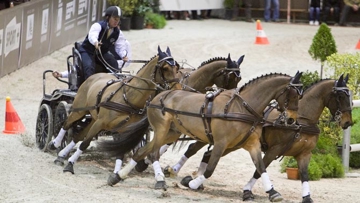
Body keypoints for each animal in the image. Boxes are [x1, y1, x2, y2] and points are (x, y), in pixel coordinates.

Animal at [47, 46, 181, 174]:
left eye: (177, 68)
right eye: (165, 68)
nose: (178, 90)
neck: (127, 97)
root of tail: (94, 75)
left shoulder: (122, 130)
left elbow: (120, 150)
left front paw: (116, 173)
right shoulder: (100, 123)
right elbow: (85, 143)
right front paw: (70, 165)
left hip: (94, 118)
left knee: (78, 136)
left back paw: (62, 155)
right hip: (79, 110)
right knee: (66, 124)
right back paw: (54, 145)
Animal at [99, 72, 304, 202]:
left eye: (300, 96)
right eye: (291, 94)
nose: (291, 120)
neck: (242, 108)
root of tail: (157, 97)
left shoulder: (252, 144)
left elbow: (261, 168)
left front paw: (273, 193)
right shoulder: (221, 143)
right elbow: (210, 169)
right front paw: (192, 182)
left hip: (172, 133)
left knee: (143, 152)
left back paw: (118, 177)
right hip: (161, 131)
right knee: (149, 152)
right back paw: (147, 179)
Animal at [168, 75, 352, 203]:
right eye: (341, 97)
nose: (348, 122)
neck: (302, 121)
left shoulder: (304, 154)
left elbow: (304, 175)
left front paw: (307, 197)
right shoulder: (274, 149)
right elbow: (259, 169)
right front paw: (250, 191)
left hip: (232, 145)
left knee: (206, 154)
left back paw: (193, 180)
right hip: (211, 138)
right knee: (193, 149)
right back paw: (178, 172)